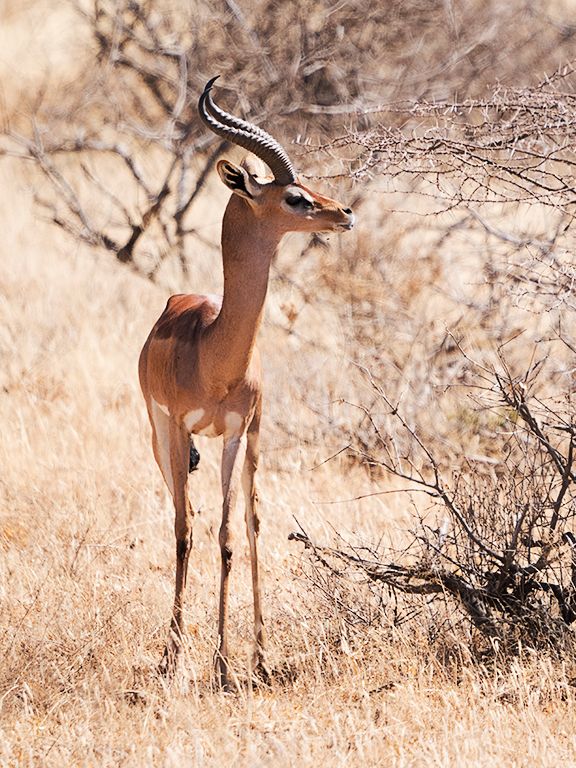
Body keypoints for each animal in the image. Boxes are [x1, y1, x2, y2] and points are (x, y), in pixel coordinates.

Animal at [138, 77, 355, 689]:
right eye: (294, 197)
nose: (344, 212)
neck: (215, 357)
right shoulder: (180, 428)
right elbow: (187, 532)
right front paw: (175, 657)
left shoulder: (237, 432)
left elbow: (230, 537)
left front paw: (226, 663)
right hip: (162, 438)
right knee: (183, 519)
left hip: (256, 440)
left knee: (254, 523)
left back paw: (259, 657)